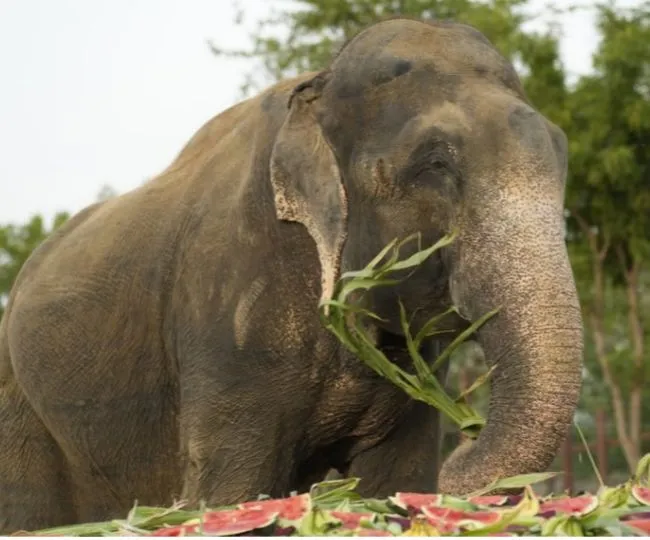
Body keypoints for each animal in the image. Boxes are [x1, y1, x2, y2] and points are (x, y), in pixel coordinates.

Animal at [0, 16, 584, 533]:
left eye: (562, 152)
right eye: (434, 164)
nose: (466, 441)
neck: (316, 89)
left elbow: (396, 478)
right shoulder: (227, 309)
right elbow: (231, 488)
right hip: (16, 391)